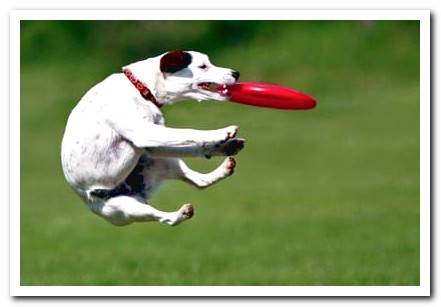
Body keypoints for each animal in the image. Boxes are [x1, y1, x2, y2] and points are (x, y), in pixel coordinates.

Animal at [61, 50, 246, 227]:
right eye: (203, 66)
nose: (236, 73)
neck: (140, 88)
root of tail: (138, 189)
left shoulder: (152, 144)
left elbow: (193, 145)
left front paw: (220, 145)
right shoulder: (144, 133)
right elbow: (190, 132)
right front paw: (221, 133)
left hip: (162, 161)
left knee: (199, 181)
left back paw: (224, 159)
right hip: (124, 208)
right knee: (166, 219)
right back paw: (179, 214)